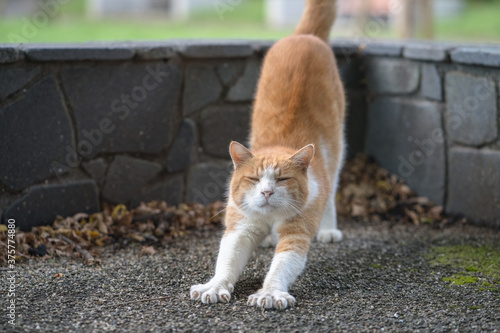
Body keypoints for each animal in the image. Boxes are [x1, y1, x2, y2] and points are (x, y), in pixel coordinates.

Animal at [189, 0, 346, 308]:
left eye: (283, 179)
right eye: (253, 179)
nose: (266, 192)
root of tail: (304, 37)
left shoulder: (296, 231)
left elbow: (282, 265)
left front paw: (270, 293)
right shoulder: (240, 228)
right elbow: (227, 261)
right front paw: (214, 286)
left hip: (338, 148)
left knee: (333, 189)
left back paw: (328, 229)